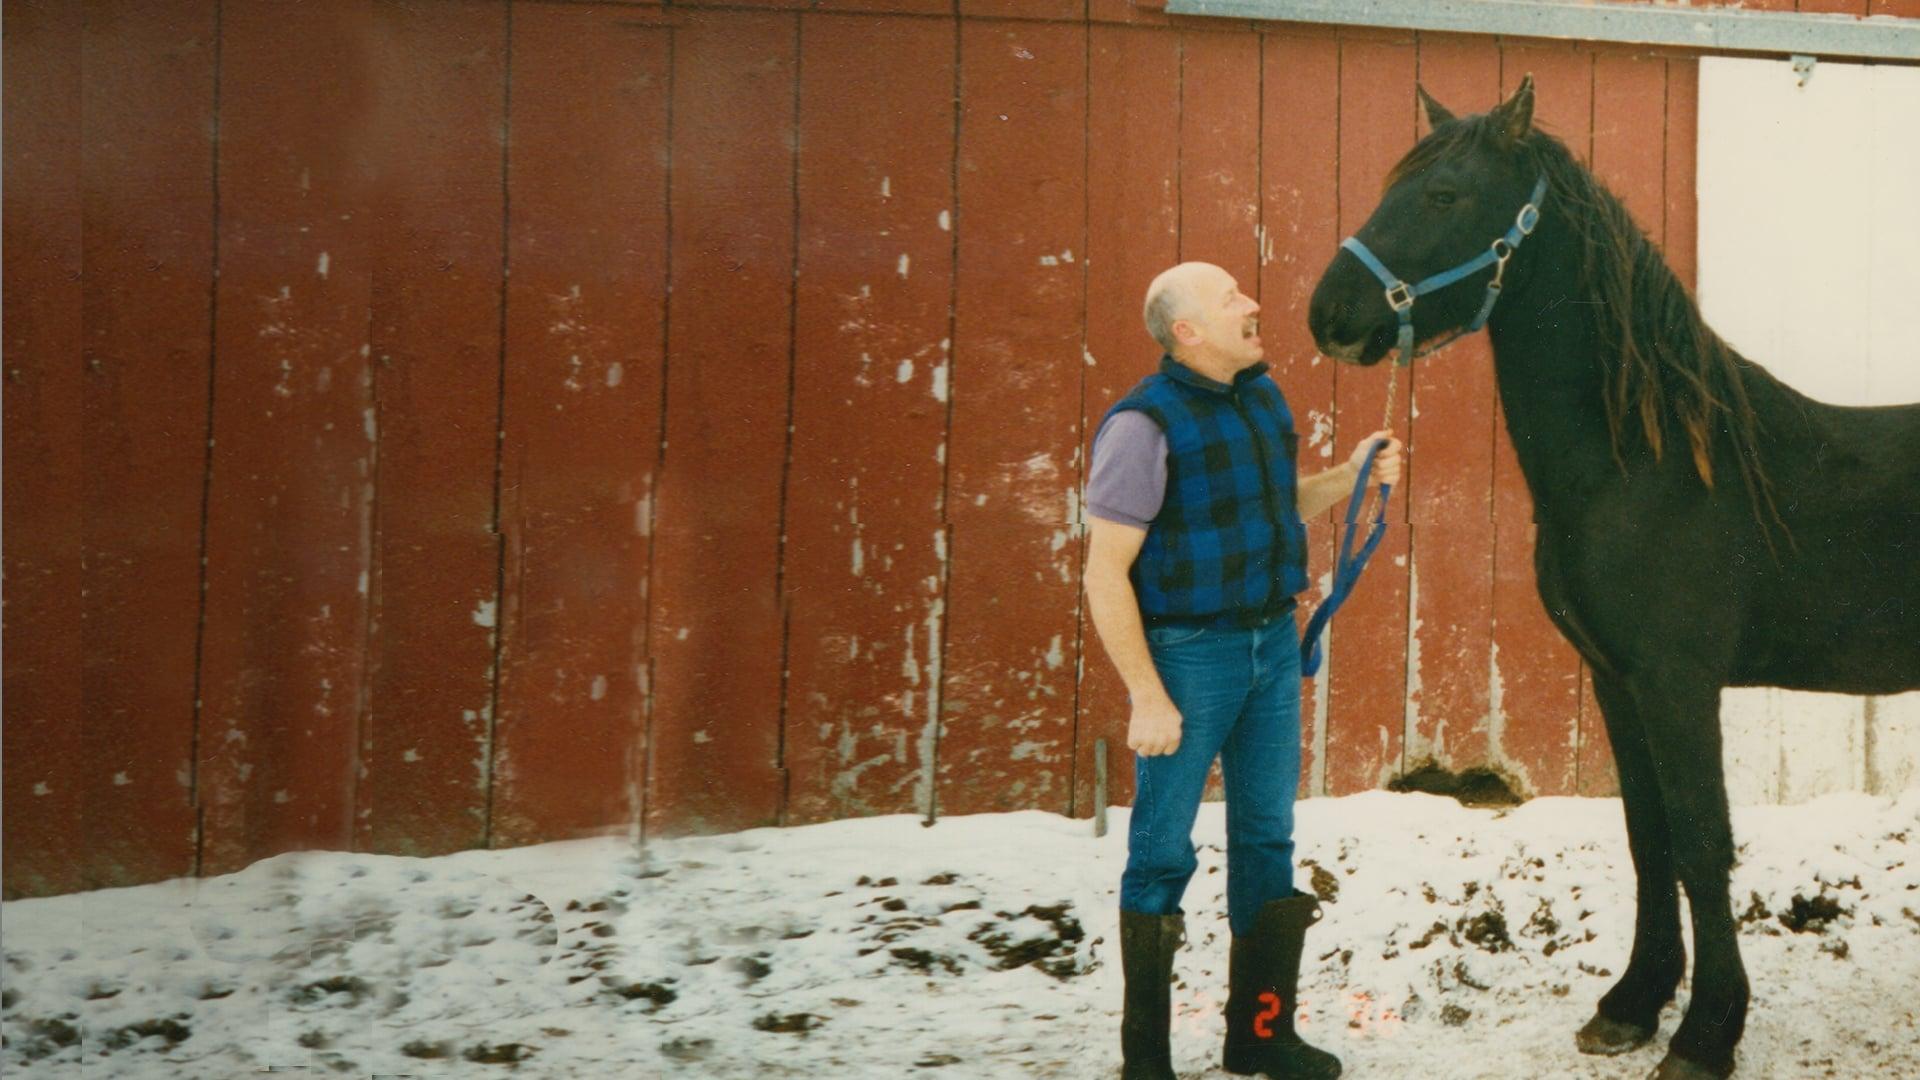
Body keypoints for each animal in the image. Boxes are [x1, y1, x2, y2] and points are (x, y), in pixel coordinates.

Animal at [1305, 77, 1920, 1076]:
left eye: (1442, 196)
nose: (1328, 313)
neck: (1647, 463)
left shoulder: (1677, 683)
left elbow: (1703, 844)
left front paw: (1707, 1034)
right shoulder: (1617, 681)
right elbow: (1649, 839)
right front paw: (1632, 1004)